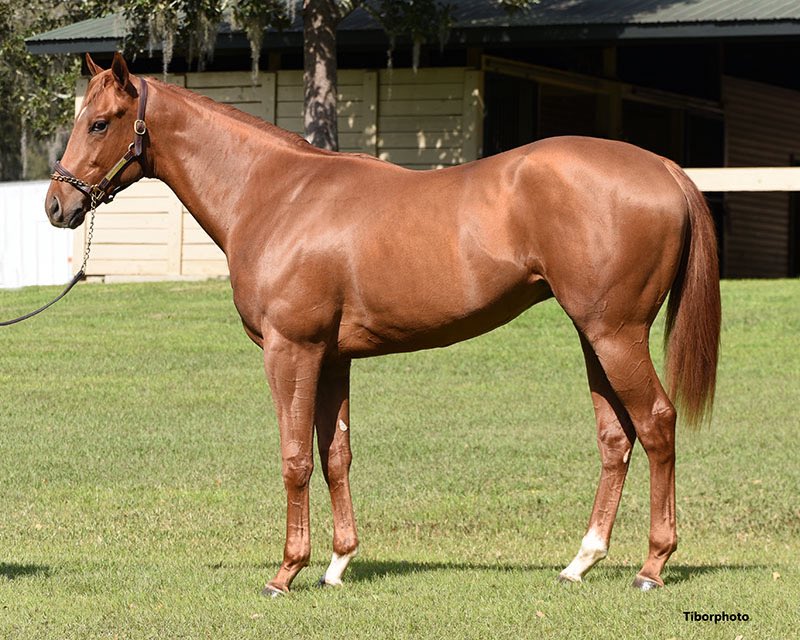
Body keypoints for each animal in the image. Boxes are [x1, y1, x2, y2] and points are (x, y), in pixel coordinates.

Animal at [45, 53, 720, 595]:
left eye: (100, 122)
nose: (58, 204)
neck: (277, 194)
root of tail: (662, 167)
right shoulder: (332, 357)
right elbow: (335, 454)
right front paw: (338, 564)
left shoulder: (290, 351)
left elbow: (295, 456)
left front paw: (286, 572)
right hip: (593, 337)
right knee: (616, 438)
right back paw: (581, 561)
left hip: (615, 335)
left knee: (657, 424)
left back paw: (652, 566)